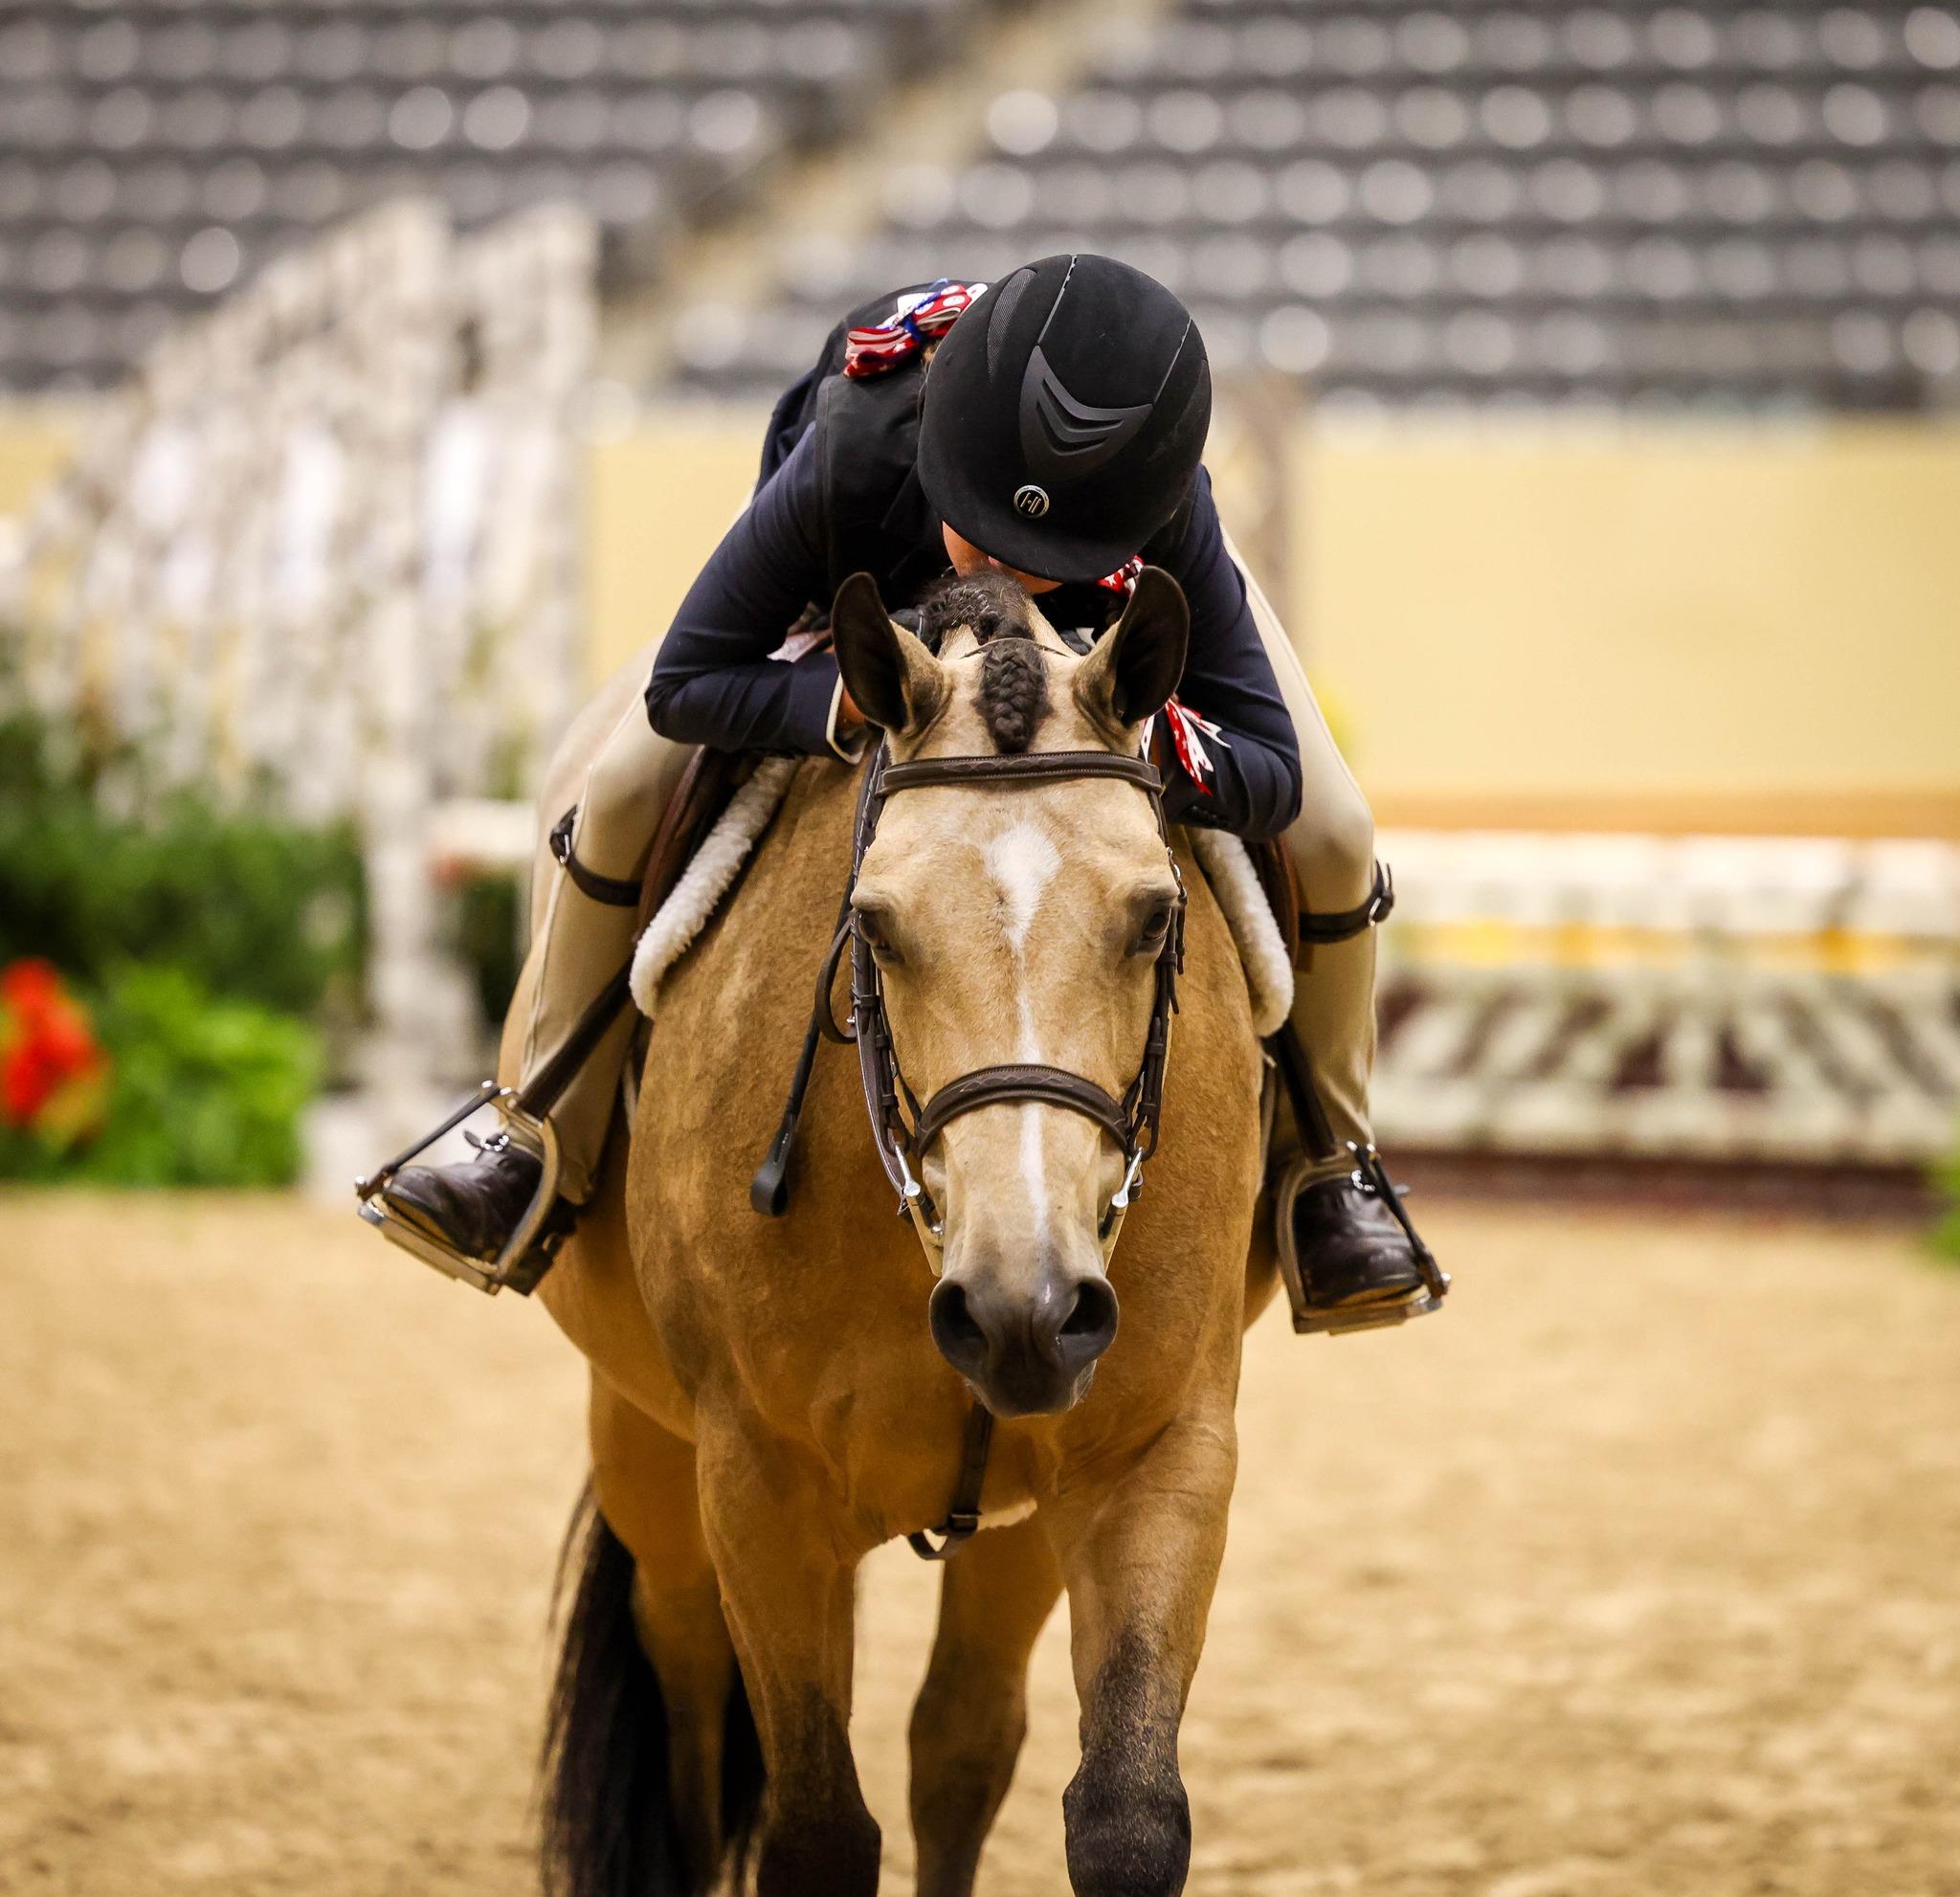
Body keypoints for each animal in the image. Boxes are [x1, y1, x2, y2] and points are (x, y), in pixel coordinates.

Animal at [507, 567, 1282, 1897]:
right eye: (874, 923)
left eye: (1153, 914)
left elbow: (1125, 1815)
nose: (1025, 1310)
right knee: (689, 1705)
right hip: (646, 1445)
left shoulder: (1158, 1451)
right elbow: (816, 1828)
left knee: (958, 1740)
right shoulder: (755, 1482)